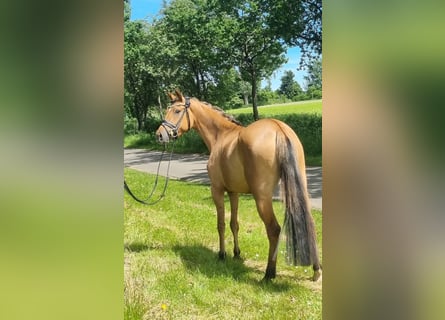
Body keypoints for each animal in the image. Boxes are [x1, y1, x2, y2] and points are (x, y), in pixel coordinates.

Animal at [155, 89, 320, 280]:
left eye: (176, 111)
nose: (160, 134)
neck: (221, 135)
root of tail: (279, 129)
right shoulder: (234, 192)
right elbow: (234, 223)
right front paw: (236, 253)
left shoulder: (217, 190)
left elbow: (221, 224)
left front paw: (222, 254)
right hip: (301, 188)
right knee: (310, 223)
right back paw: (316, 270)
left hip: (262, 198)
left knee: (274, 230)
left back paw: (269, 274)